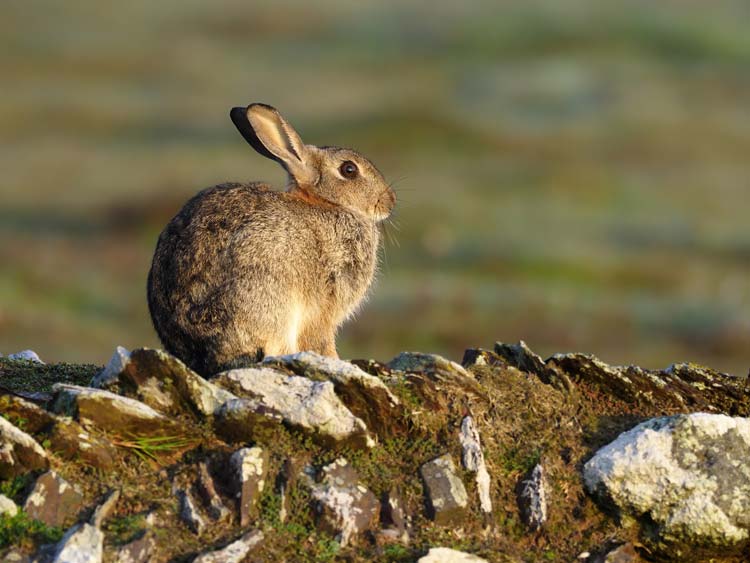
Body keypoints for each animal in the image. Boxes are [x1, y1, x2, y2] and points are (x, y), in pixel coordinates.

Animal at [144, 103, 396, 376]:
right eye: (349, 169)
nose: (389, 202)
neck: (327, 203)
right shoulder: (324, 303)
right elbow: (321, 339)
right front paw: (337, 360)